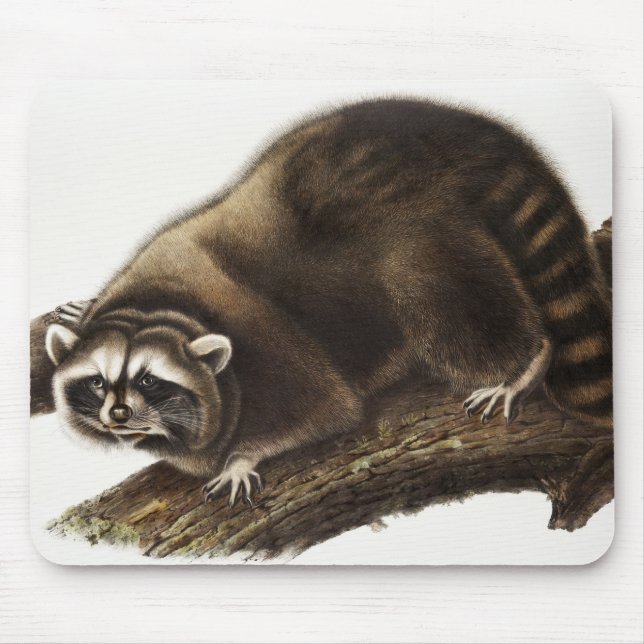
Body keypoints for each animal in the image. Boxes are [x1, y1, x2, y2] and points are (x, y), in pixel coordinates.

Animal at [45, 98, 612, 506]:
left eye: (149, 381)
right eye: (97, 382)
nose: (118, 414)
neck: (158, 307)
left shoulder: (266, 344)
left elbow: (325, 410)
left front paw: (241, 457)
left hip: (418, 231)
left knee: (441, 298)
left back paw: (526, 359)